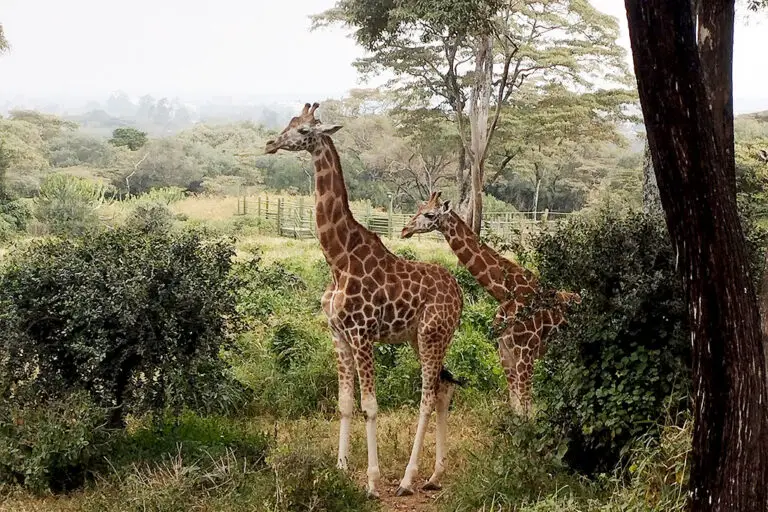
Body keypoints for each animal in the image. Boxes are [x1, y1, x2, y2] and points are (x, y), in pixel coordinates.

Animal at [264, 103, 463, 498]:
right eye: (290, 122)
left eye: (305, 129)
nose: (271, 144)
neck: (338, 259)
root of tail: (461, 294)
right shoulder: (338, 335)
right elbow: (344, 403)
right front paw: (340, 468)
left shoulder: (362, 333)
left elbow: (370, 405)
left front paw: (372, 482)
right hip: (423, 338)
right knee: (443, 390)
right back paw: (434, 476)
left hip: (432, 336)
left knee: (427, 397)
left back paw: (406, 480)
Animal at [401, 191, 581, 414]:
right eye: (419, 208)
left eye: (429, 214)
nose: (405, 230)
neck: (504, 293)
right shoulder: (505, 352)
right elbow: (516, 405)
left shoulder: (526, 353)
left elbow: (526, 407)